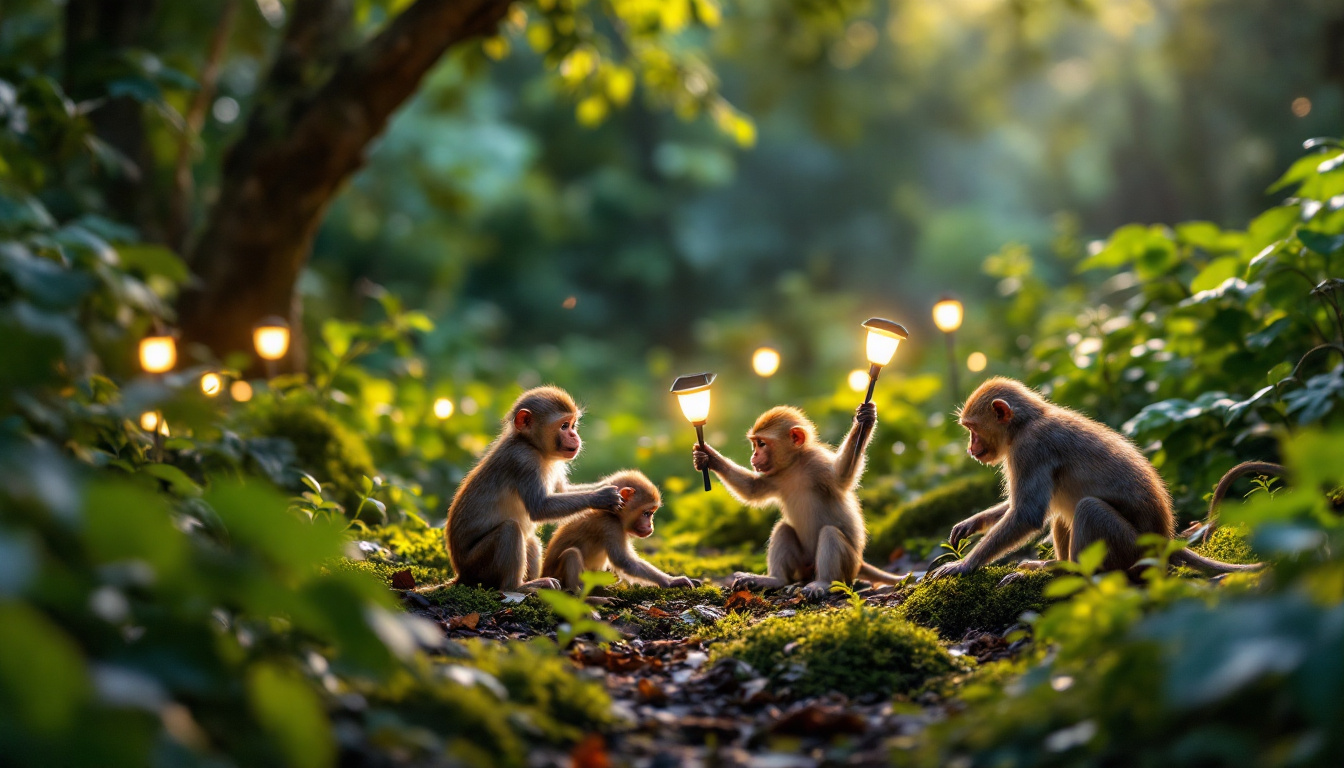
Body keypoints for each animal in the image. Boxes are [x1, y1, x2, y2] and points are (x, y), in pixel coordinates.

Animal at [445, 386, 624, 592]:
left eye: (573, 425)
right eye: (564, 426)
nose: (574, 435)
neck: (534, 447)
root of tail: (461, 574)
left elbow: (562, 491)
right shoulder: (524, 460)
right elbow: (540, 508)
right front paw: (602, 497)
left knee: (530, 540)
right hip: (478, 565)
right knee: (510, 530)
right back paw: (519, 586)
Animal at [540, 470, 700, 592]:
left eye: (651, 513)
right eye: (646, 513)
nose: (650, 526)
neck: (612, 514)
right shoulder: (611, 525)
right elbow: (624, 561)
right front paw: (671, 581)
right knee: (572, 554)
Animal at [691, 402, 906, 599]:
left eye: (761, 444)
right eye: (755, 443)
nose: (754, 455)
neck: (794, 465)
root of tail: (860, 562)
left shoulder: (817, 462)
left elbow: (842, 477)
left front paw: (865, 420)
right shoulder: (775, 475)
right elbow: (752, 489)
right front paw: (708, 457)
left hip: (849, 565)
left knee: (830, 534)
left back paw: (822, 582)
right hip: (803, 565)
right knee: (783, 529)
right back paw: (775, 579)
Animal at [926, 377, 1263, 582]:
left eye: (972, 429)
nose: (971, 449)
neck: (1026, 423)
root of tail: (1164, 539)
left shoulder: (1030, 449)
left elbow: (1027, 514)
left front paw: (964, 565)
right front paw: (972, 523)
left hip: (1131, 549)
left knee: (1088, 508)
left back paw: (1070, 571)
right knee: (1062, 511)